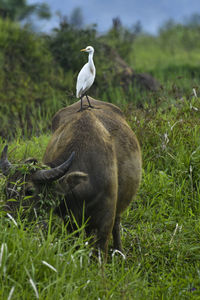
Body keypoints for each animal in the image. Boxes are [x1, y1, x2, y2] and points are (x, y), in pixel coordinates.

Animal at [0, 98, 141, 258]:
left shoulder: (106, 218)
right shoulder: (70, 220)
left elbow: (100, 249)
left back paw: (119, 252)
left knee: (117, 224)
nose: (8, 221)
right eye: (5, 190)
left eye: (29, 191)